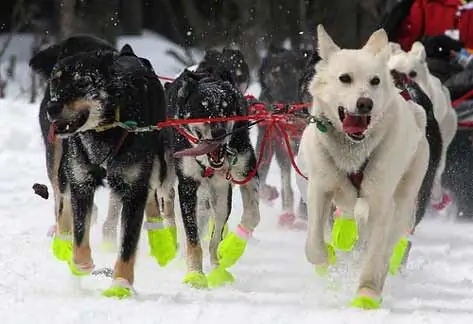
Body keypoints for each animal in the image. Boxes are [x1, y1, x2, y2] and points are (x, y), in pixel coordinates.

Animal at [30, 36, 176, 298]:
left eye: (83, 82)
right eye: (56, 81)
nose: (52, 108)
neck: (105, 130)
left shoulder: (134, 188)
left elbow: (128, 244)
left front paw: (120, 285)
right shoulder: (81, 182)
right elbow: (79, 234)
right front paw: (81, 263)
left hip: (158, 164)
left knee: (153, 197)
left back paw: (160, 241)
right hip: (58, 161)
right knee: (61, 199)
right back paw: (62, 240)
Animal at [300, 25, 430, 308]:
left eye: (375, 81)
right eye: (345, 78)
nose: (365, 103)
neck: (353, 154)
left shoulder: (382, 205)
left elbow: (375, 256)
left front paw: (367, 293)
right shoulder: (319, 189)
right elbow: (313, 245)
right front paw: (326, 259)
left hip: (403, 201)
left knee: (385, 248)